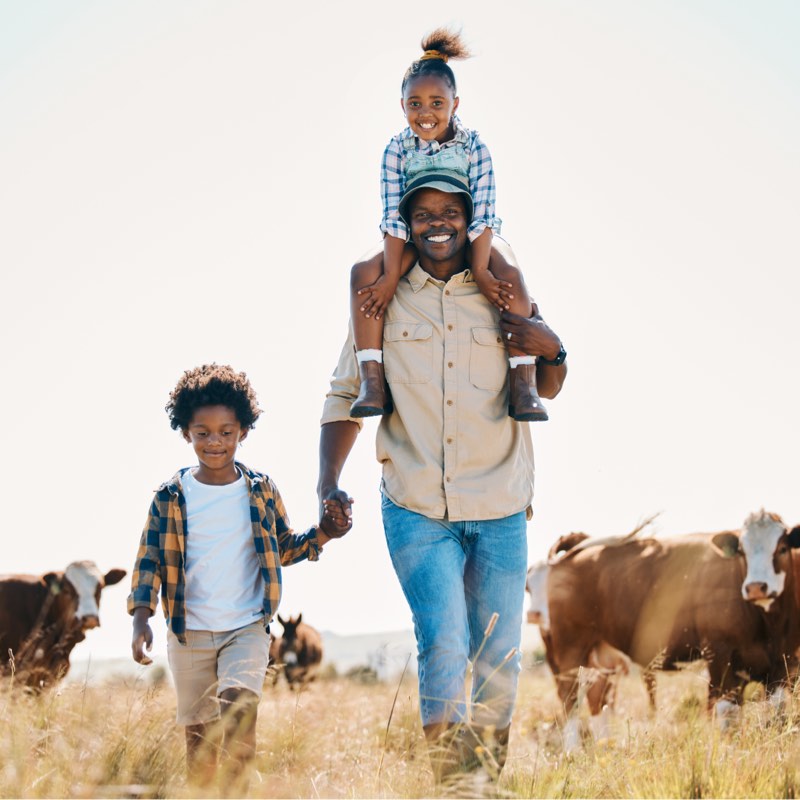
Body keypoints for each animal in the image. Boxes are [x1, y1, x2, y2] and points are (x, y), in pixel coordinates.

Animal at [544, 512, 800, 752]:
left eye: (782, 548)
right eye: (742, 552)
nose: (756, 587)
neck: (770, 624)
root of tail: (576, 553)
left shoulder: (783, 664)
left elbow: (777, 711)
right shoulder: (720, 657)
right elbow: (728, 713)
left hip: (602, 653)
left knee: (598, 697)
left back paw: (605, 747)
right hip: (569, 649)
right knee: (570, 698)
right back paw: (573, 752)